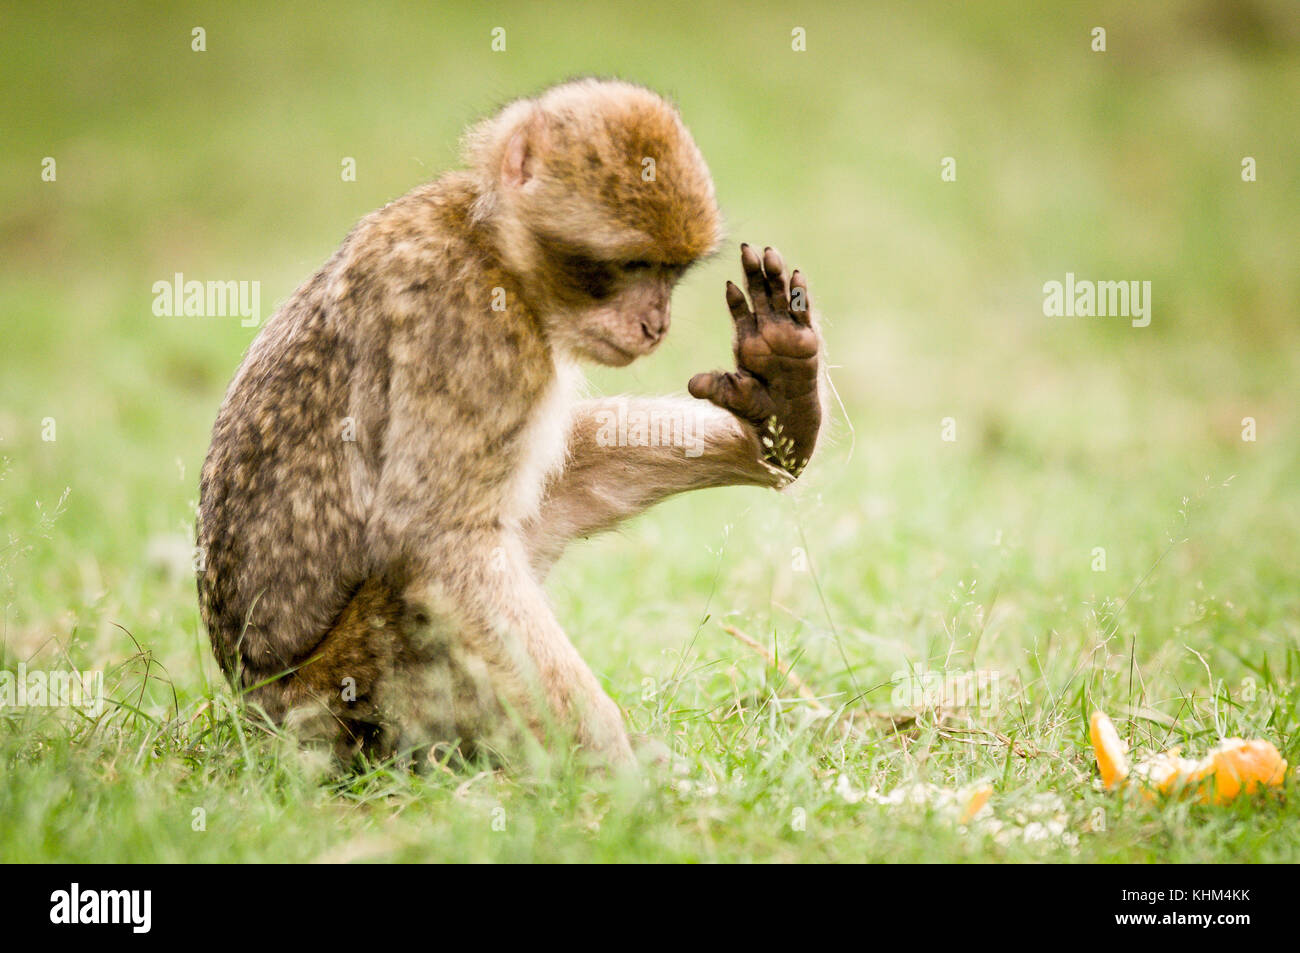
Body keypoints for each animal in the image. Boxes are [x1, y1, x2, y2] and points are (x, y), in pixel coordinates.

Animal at [196, 78, 824, 769]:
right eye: (632, 265)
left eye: (670, 271)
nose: (655, 324)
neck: (494, 247)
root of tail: (259, 710)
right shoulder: (471, 327)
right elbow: (436, 538)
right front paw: (618, 774)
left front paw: (780, 408)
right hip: (353, 694)